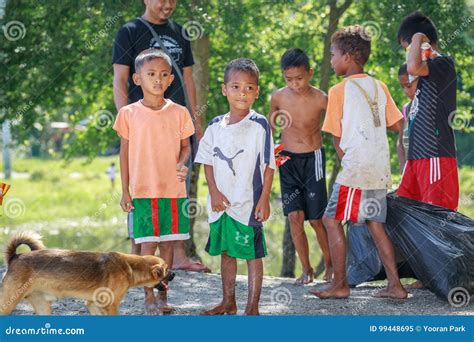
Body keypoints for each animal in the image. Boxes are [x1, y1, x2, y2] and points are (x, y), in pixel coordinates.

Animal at [0, 230, 170, 316]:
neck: (130, 266)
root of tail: (15, 257)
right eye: (167, 270)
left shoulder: (93, 304)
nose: (174, 274)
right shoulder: (111, 305)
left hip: (43, 307)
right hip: (8, 303)